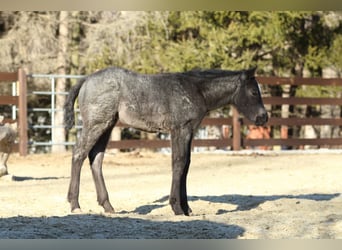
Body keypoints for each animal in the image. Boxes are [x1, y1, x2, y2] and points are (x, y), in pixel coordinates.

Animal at [63, 66, 268, 215]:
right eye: (253, 92)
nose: (263, 118)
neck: (196, 90)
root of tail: (86, 79)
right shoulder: (180, 129)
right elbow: (179, 163)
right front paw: (177, 207)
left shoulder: (188, 131)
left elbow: (186, 165)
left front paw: (186, 208)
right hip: (96, 124)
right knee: (79, 154)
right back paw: (75, 204)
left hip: (107, 125)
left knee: (95, 158)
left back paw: (107, 206)